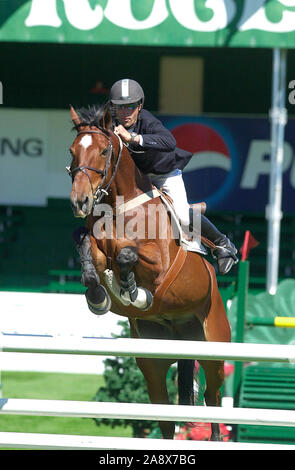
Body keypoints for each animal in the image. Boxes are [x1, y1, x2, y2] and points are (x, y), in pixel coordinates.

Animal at [68, 103, 232, 440]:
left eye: (104, 151)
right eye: (72, 151)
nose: (80, 202)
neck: (119, 207)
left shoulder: (159, 266)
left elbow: (128, 254)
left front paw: (134, 291)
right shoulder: (96, 247)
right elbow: (85, 244)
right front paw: (98, 295)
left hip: (213, 348)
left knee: (212, 397)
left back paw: (226, 252)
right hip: (152, 361)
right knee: (165, 413)